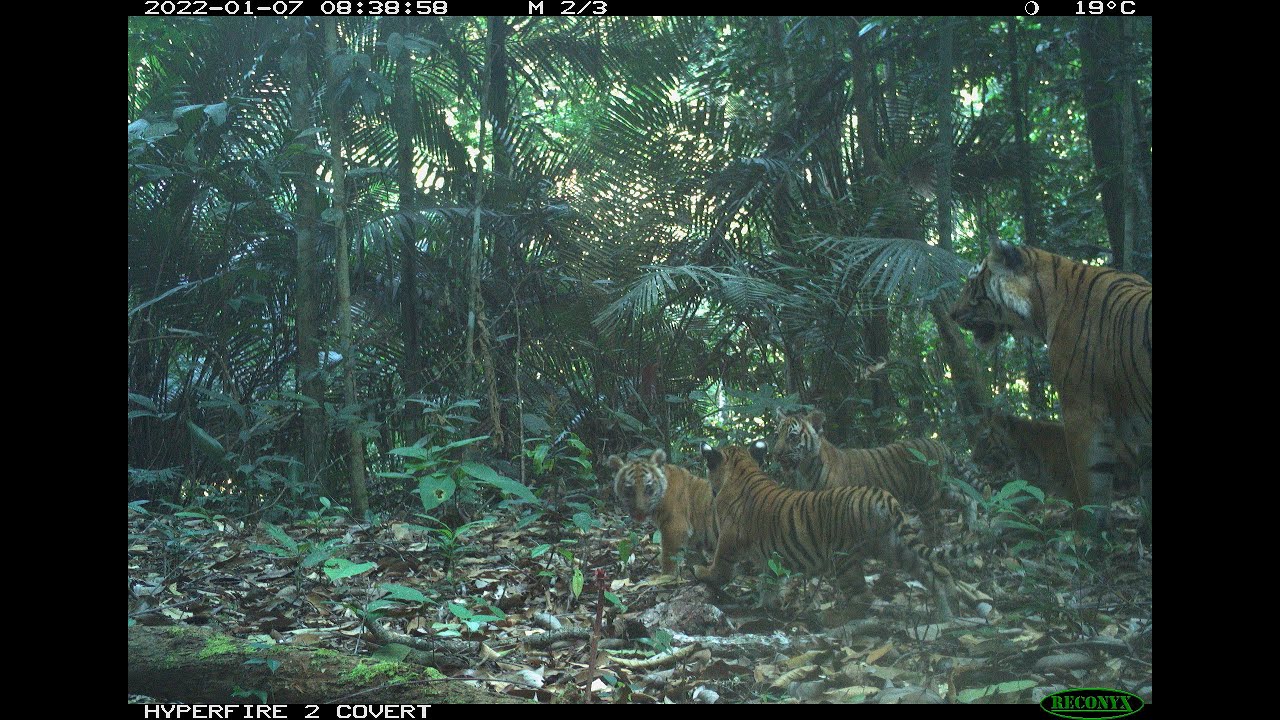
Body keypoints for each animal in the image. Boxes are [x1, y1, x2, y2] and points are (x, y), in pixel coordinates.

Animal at [695, 442, 963, 621]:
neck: (741, 469)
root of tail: (883, 498)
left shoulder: (728, 541)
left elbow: (721, 569)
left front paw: (701, 572)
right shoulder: (769, 557)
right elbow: (769, 581)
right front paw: (764, 605)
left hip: (844, 559)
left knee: (863, 596)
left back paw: (834, 618)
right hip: (893, 547)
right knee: (931, 571)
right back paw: (947, 614)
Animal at [769, 409, 978, 543]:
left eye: (792, 437)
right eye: (777, 435)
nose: (775, 454)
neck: (804, 469)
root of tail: (937, 443)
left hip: (927, 494)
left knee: (936, 522)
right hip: (941, 489)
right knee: (965, 496)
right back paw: (971, 525)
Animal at [949, 238, 1151, 536]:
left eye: (971, 282)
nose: (951, 314)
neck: (1043, 304)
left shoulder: (1082, 413)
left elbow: (1090, 484)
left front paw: (1085, 534)